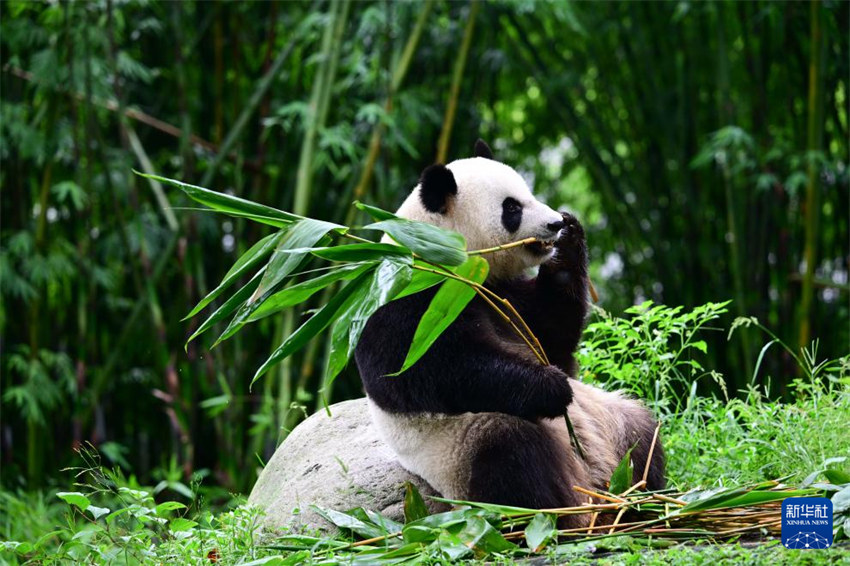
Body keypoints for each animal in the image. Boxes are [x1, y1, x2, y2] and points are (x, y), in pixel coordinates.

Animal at [352, 139, 664, 528]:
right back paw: (556, 519)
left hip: (609, 417)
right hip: (462, 450)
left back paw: (646, 500)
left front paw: (571, 238)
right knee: (513, 456)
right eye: (512, 207)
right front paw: (551, 387)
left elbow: (552, 333)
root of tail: (594, 483)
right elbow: (436, 368)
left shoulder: (506, 295)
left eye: (529, 193)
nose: (555, 222)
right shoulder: (409, 297)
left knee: (641, 434)